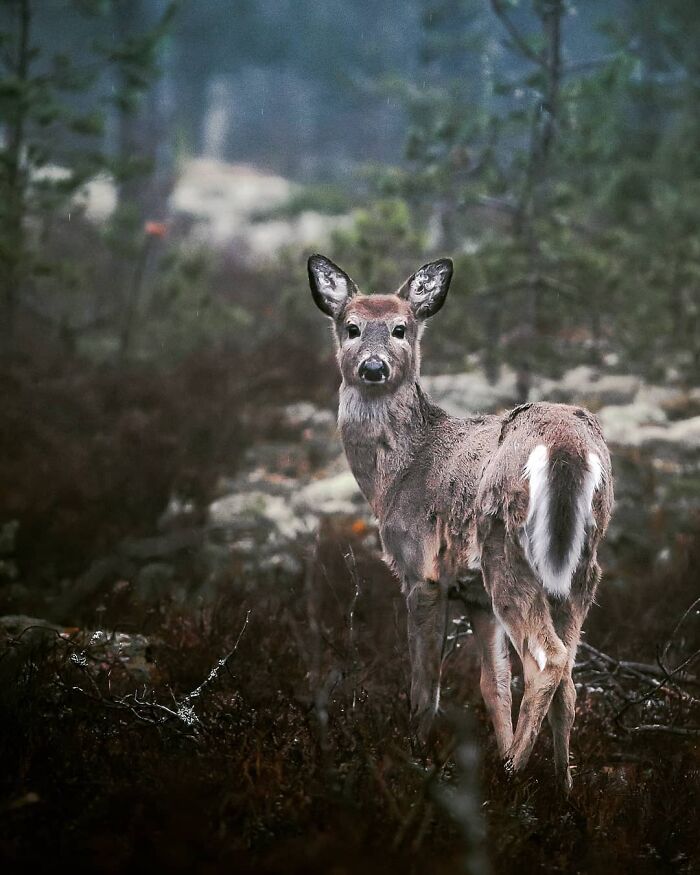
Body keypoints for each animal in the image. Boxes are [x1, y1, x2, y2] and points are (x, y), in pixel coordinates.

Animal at [307, 254, 614, 791]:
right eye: (351, 327)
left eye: (401, 328)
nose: (373, 367)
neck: (394, 478)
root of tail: (567, 448)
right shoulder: (474, 596)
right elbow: (493, 684)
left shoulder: (422, 571)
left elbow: (424, 685)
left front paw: (416, 760)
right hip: (581, 566)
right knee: (570, 679)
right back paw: (563, 792)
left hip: (508, 551)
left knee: (548, 661)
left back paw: (512, 775)